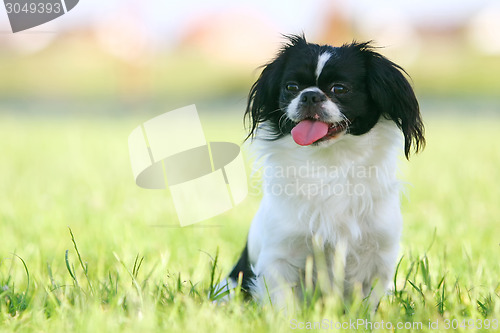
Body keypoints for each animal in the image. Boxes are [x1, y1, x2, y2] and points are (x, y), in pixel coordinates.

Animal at [218, 35, 422, 308]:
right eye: (292, 87)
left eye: (340, 89)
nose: (310, 96)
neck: (329, 164)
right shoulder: (279, 257)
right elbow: (284, 305)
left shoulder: (378, 258)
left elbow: (368, 306)